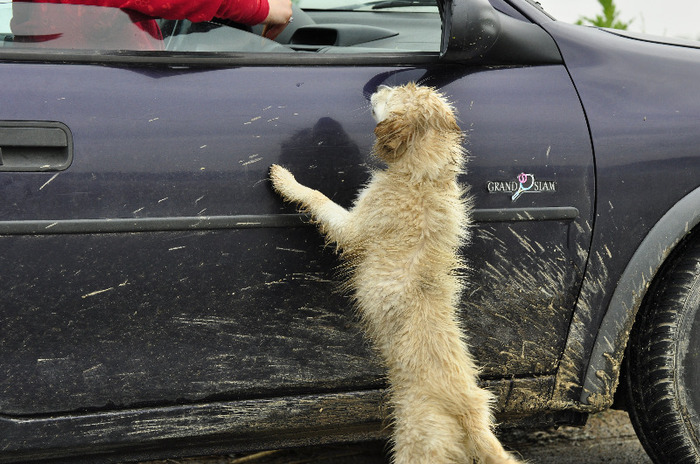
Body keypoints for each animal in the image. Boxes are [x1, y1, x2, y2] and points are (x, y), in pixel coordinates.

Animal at [268, 84, 520, 464]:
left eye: (397, 94)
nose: (377, 87)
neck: (426, 178)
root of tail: (469, 415)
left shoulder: (354, 228)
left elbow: (319, 198)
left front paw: (286, 180)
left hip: (416, 446)